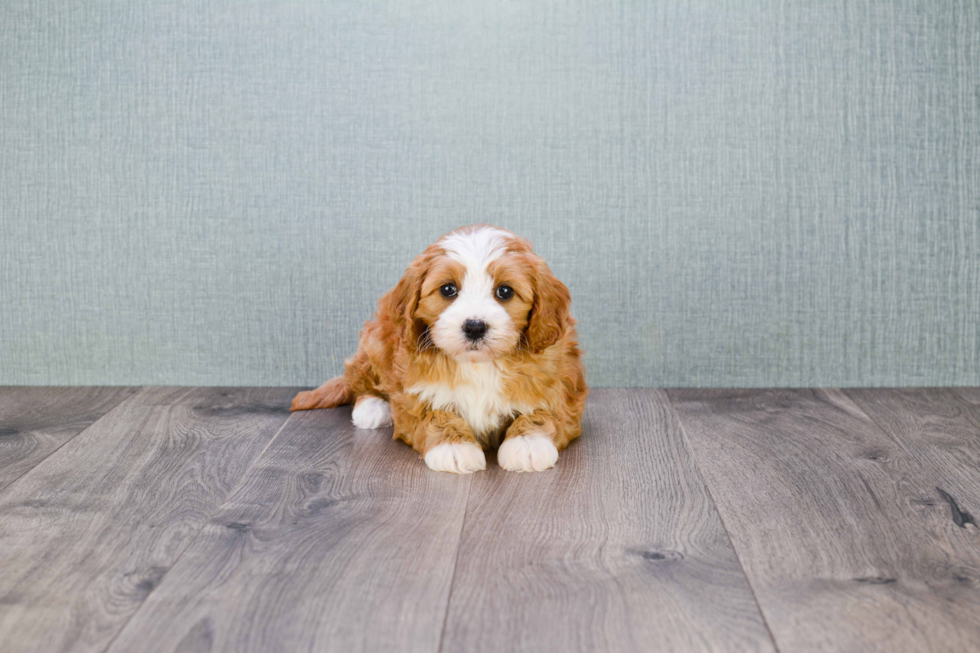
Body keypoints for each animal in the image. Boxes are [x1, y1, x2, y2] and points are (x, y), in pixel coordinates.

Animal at [288, 224, 584, 474]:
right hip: (376, 340)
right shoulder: (412, 392)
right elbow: (434, 415)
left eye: (505, 291)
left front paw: (528, 444)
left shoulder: (561, 386)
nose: (474, 326)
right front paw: (453, 448)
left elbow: (543, 413)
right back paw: (372, 407)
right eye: (448, 289)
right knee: (361, 376)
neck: (477, 364)